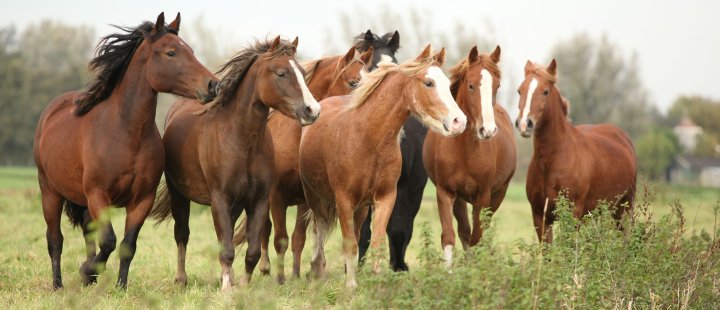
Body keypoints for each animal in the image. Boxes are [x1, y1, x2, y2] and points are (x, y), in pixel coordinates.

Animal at [33, 12, 218, 288]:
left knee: (86, 231)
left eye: (191, 51)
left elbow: (127, 244)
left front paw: (120, 285)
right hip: (50, 192)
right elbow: (109, 241)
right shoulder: (98, 195)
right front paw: (87, 271)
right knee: (55, 240)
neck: (126, 134)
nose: (213, 85)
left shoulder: (141, 200)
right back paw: (58, 284)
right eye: (171, 52)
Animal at [150, 36, 320, 290]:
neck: (241, 139)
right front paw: (226, 288)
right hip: (179, 195)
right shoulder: (220, 199)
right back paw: (181, 279)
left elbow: (251, 251)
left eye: (302, 72)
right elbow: (227, 249)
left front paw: (242, 284)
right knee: (182, 234)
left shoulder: (258, 201)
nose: (313, 110)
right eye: (281, 73)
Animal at [298, 45, 466, 288]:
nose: (459, 122)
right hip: (316, 197)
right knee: (318, 228)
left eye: (446, 82)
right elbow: (349, 244)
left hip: (360, 208)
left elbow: (375, 243)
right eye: (429, 83)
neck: (369, 139)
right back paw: (317, 270)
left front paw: (376, 285)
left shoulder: (385, 198)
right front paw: (351, 286)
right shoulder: (343, 200)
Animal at [422, 45, 516, 266]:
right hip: (460, 199)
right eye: (471, 86)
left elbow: (477, 238)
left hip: (498, 195)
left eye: (497, 86)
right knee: (464, 231)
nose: (487, 130)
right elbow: (449, 237)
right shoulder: (446, 192)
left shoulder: (483, 195)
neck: (464, 149)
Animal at [516, 59, 640, 243]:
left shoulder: (573, 214)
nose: (525, 124)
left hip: (625, 207)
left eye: (545, 91)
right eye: (520, 90)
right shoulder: (540, 216)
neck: (552, 160)